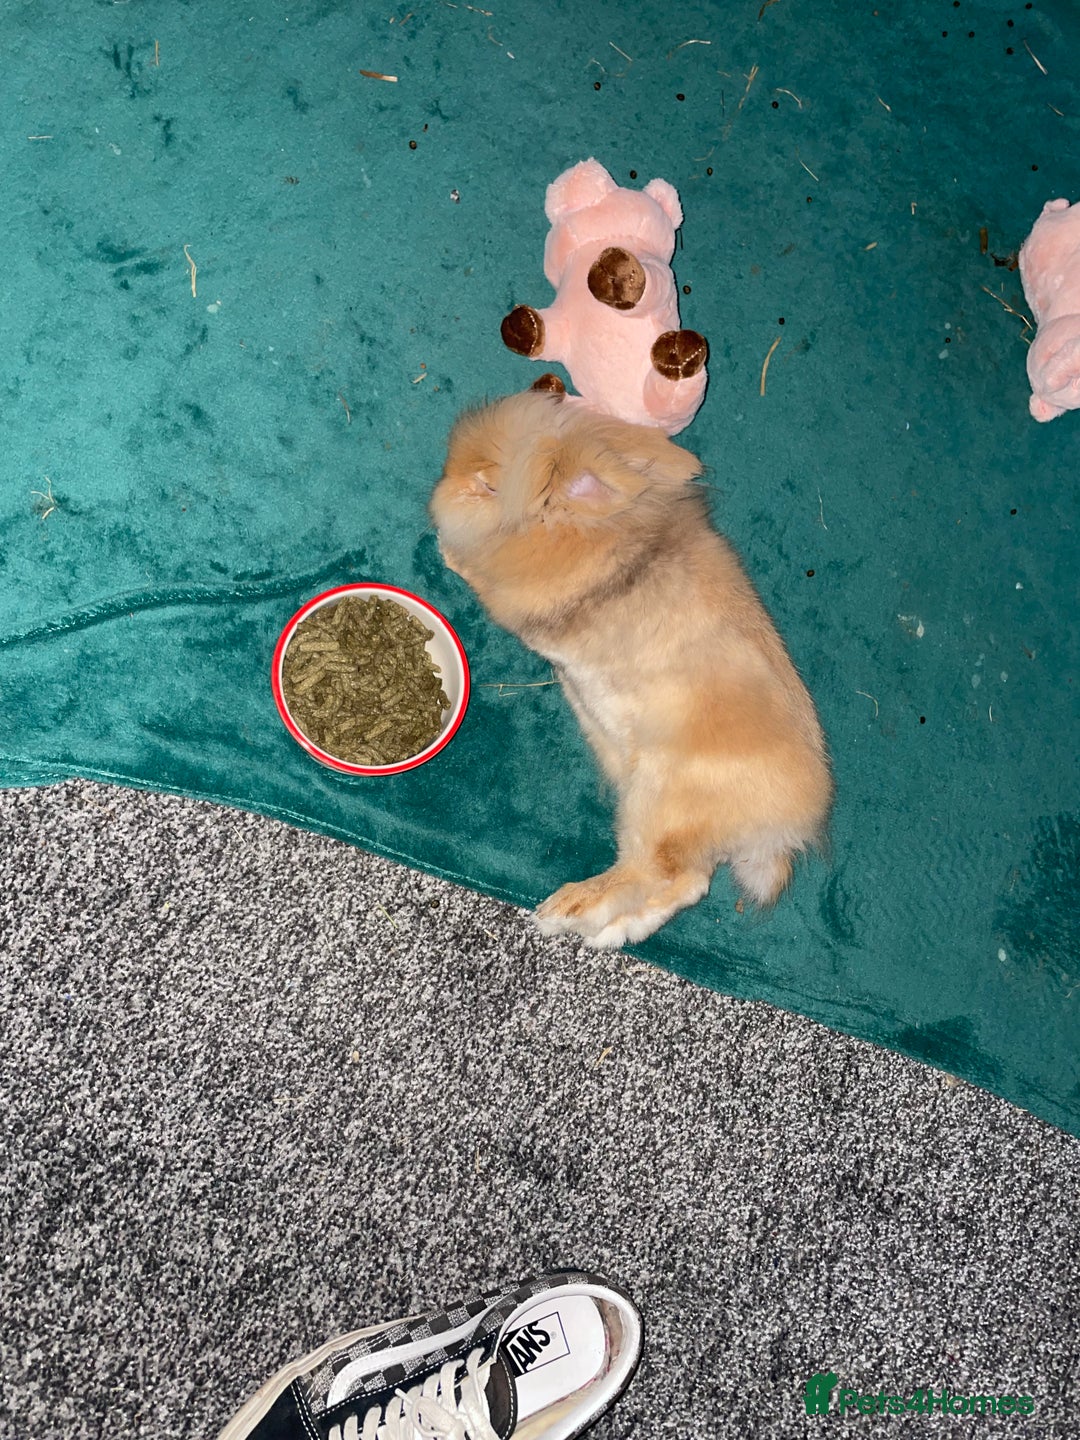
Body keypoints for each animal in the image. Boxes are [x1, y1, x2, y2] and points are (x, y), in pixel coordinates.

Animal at [429, 389, 833, 948]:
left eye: (489, 484)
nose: (441, 484)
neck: (604, 533)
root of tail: (783, 830)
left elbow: (479, 578)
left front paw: (448, 552)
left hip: (657, 803)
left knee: (658, 874)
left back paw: (565, 911)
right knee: (685, 883)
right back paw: (611, 933)